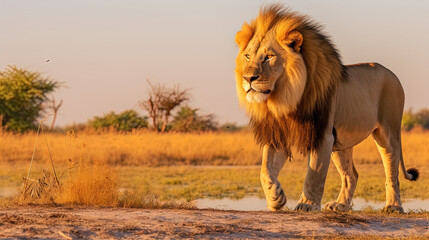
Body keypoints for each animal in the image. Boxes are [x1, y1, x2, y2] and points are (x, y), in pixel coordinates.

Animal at [234, 4, 418, 213]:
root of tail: (392, 74)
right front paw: (275, 199)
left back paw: (393, 207)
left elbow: (315, 173)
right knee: (352, 175)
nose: (248, 78)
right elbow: (265, 170)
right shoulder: (279, 134)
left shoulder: (322, 134)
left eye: (269, 57)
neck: (284, 100)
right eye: (248, 56)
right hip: (341, 143)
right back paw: (341, 206)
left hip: (388, 133)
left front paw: (307, 205)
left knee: (392, 172)